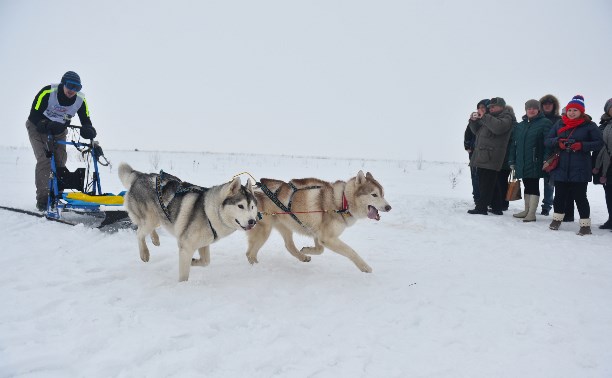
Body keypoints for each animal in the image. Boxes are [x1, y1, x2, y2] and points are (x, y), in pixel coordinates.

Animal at [117, 162, 258, 280]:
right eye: (240, 206)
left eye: (252, 207)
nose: (253, 221)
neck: (209, 212)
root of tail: (140, 175)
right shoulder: (186, 247)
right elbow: (184, 274)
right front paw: (183, 286)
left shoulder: (203, 243)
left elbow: (206, 262)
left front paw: (193, 261)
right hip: (150, 219)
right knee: (139, 233)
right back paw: (144, 253)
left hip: (158, 218)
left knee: (146, 229)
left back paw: (155, 239)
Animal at [247, 171, 392, 272]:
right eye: (374, 195)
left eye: (383, 194)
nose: (389, 207)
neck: (343, 201)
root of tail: (253, 190)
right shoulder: (327, 238)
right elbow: (351, 251)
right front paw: (365, 267)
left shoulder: (319, 235)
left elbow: (320, 249)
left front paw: (307, 250)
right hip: (265, 230)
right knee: (250, 253)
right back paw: (256, 268)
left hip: (285, 225)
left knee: (288, 246)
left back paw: (302, 256)